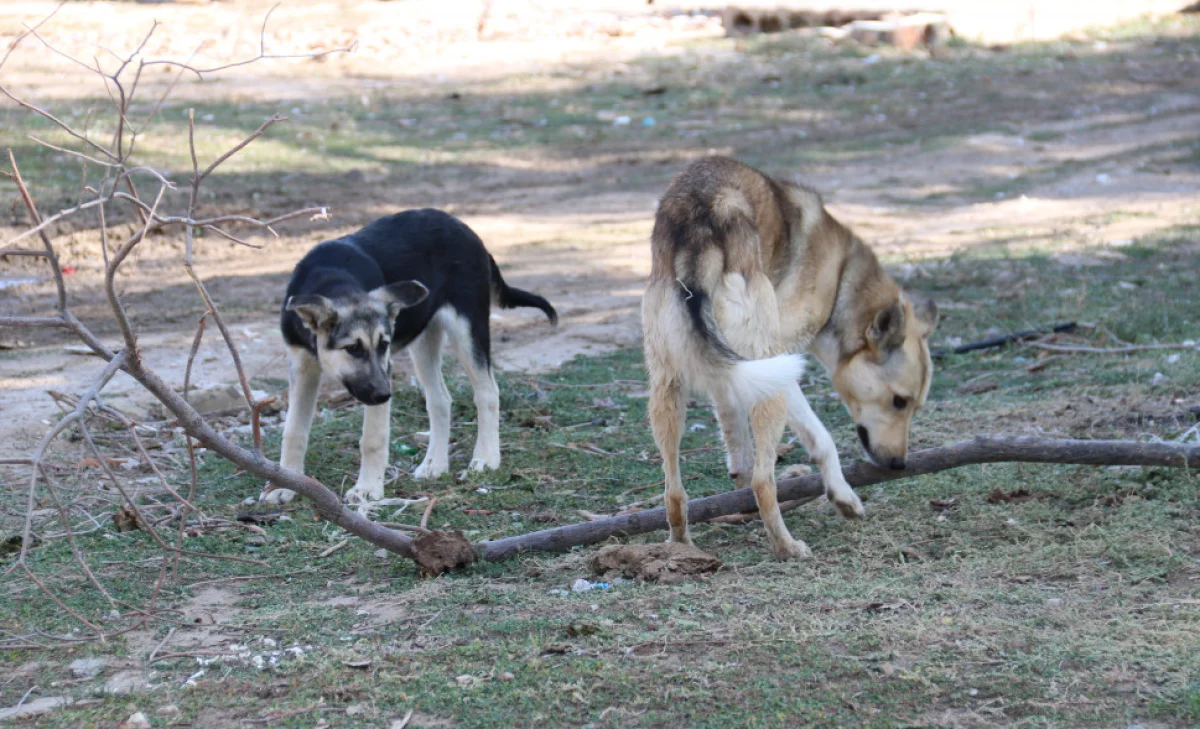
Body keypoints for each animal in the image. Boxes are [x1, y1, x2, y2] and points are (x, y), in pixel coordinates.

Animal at [262, 207, 556, 503]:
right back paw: (434, 465)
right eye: (353, 348)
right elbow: (293, 430)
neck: (331, 277)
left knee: (487, 392)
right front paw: (285, 484)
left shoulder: (384, 371)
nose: (385, 395)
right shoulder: (302, 366)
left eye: (383, 344)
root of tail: (465, 228)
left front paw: (368, 488)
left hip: (467, 328)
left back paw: (486, 458)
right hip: (424, 340)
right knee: (440, 400)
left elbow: (373, 438)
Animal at [643, 157, 940, 561]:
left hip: (667, 386)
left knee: (673, 490)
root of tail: (701, 218)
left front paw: (738, 483)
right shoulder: (781, 361)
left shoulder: (731, 371)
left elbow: (735, 434)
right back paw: (785, 545)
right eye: (899, 402)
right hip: (769, 384)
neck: (841, 280)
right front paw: (843, 496)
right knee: (764, 481)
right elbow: (823, 439)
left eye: (914, 406)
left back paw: (681, 547)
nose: (899, 465)